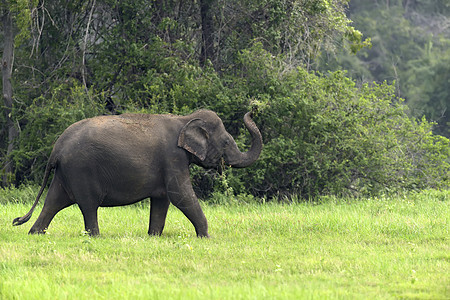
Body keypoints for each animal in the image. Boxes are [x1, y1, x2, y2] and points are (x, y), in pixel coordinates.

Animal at [12, 109, 262, 238]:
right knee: (88, 205)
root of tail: (56, 148)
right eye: (226, 142)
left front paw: (154, 237)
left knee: (53, 202)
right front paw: (206, 238)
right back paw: (95, 237)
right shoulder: (173, 158)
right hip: (80, 170)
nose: (252, 109)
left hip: (66, 173)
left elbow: (162, 199)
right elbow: (180, 195)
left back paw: (35, 234)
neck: (184, 119)